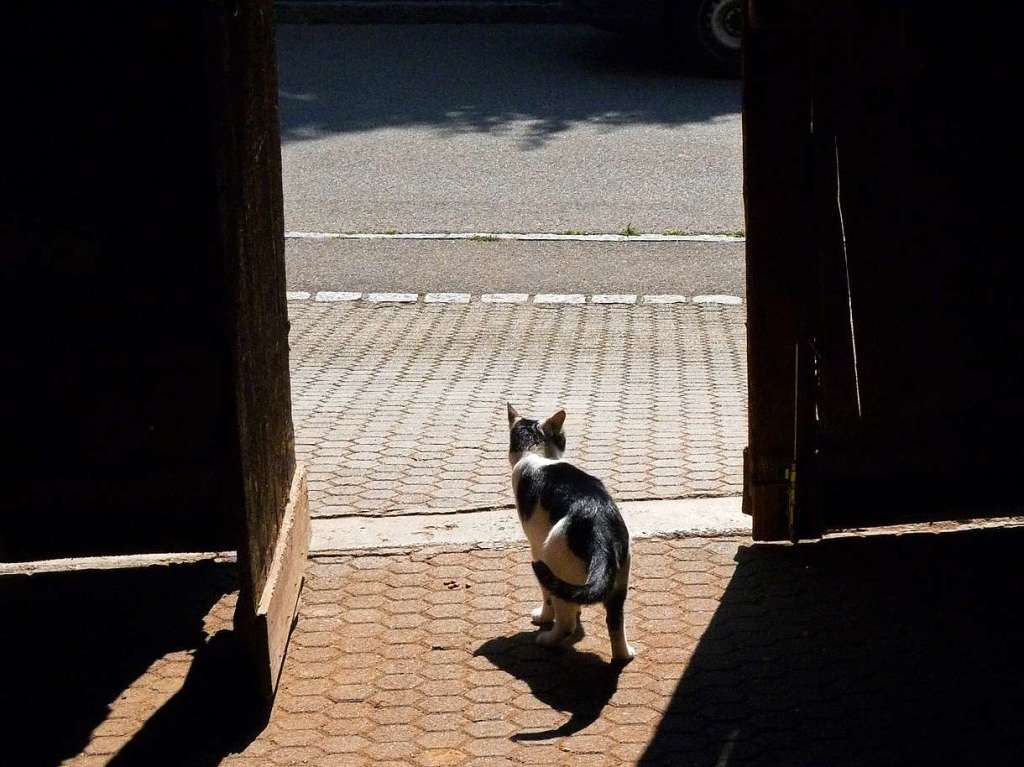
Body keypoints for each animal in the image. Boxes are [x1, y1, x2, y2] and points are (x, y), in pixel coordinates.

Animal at [503, 403, 630, 659]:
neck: (535, 454)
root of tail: (601, 530)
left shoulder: (536, 547)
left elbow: (548, 597)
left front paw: (543, 617)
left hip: (550, 557)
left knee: (565, 621)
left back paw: (547, 639)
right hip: (619, 584)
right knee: (615, 621)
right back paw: (624, 654)